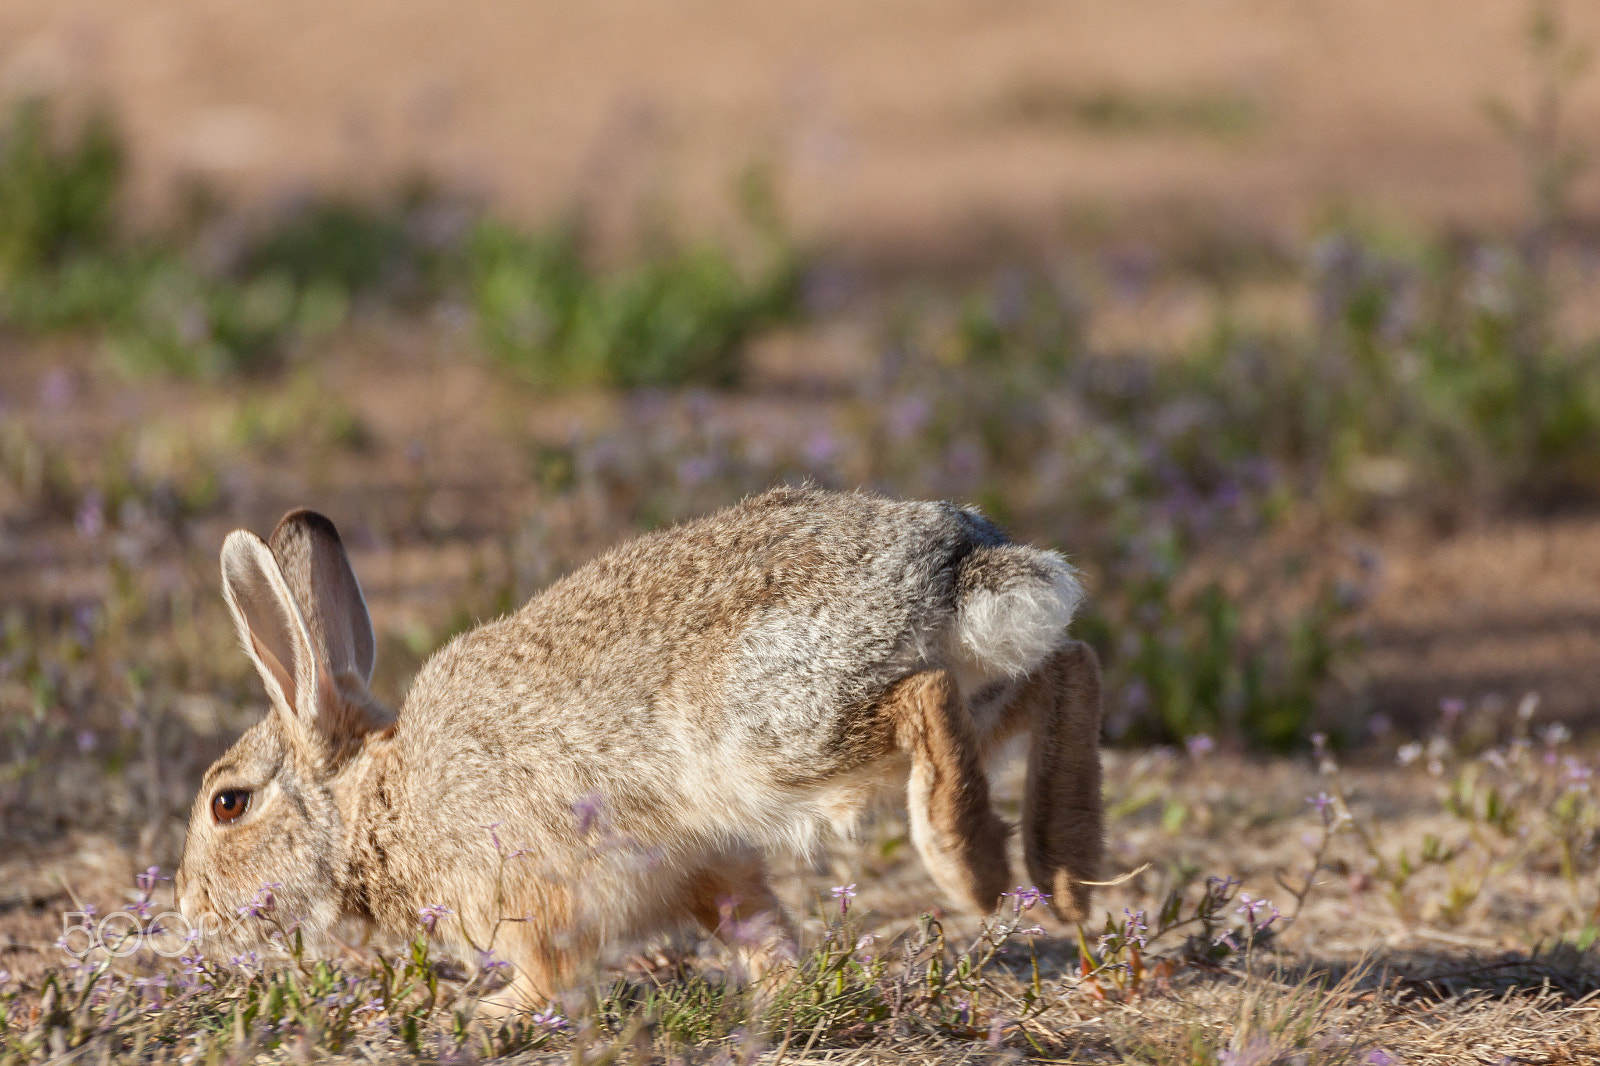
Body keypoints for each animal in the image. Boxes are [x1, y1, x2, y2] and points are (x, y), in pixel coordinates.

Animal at [176, 486, 1104, 1006]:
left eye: (229, 803)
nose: (187, 908)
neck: (375, 807)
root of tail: (958, 566)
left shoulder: (528, 893)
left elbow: (545, 973)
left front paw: (484, 1016)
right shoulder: (704, 869)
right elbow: (756, 925)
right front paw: (783, 994)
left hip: (782, 736)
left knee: (929, 699)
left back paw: (971, 866)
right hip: (975, 689)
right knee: (1068, 668)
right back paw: (1065, 872)